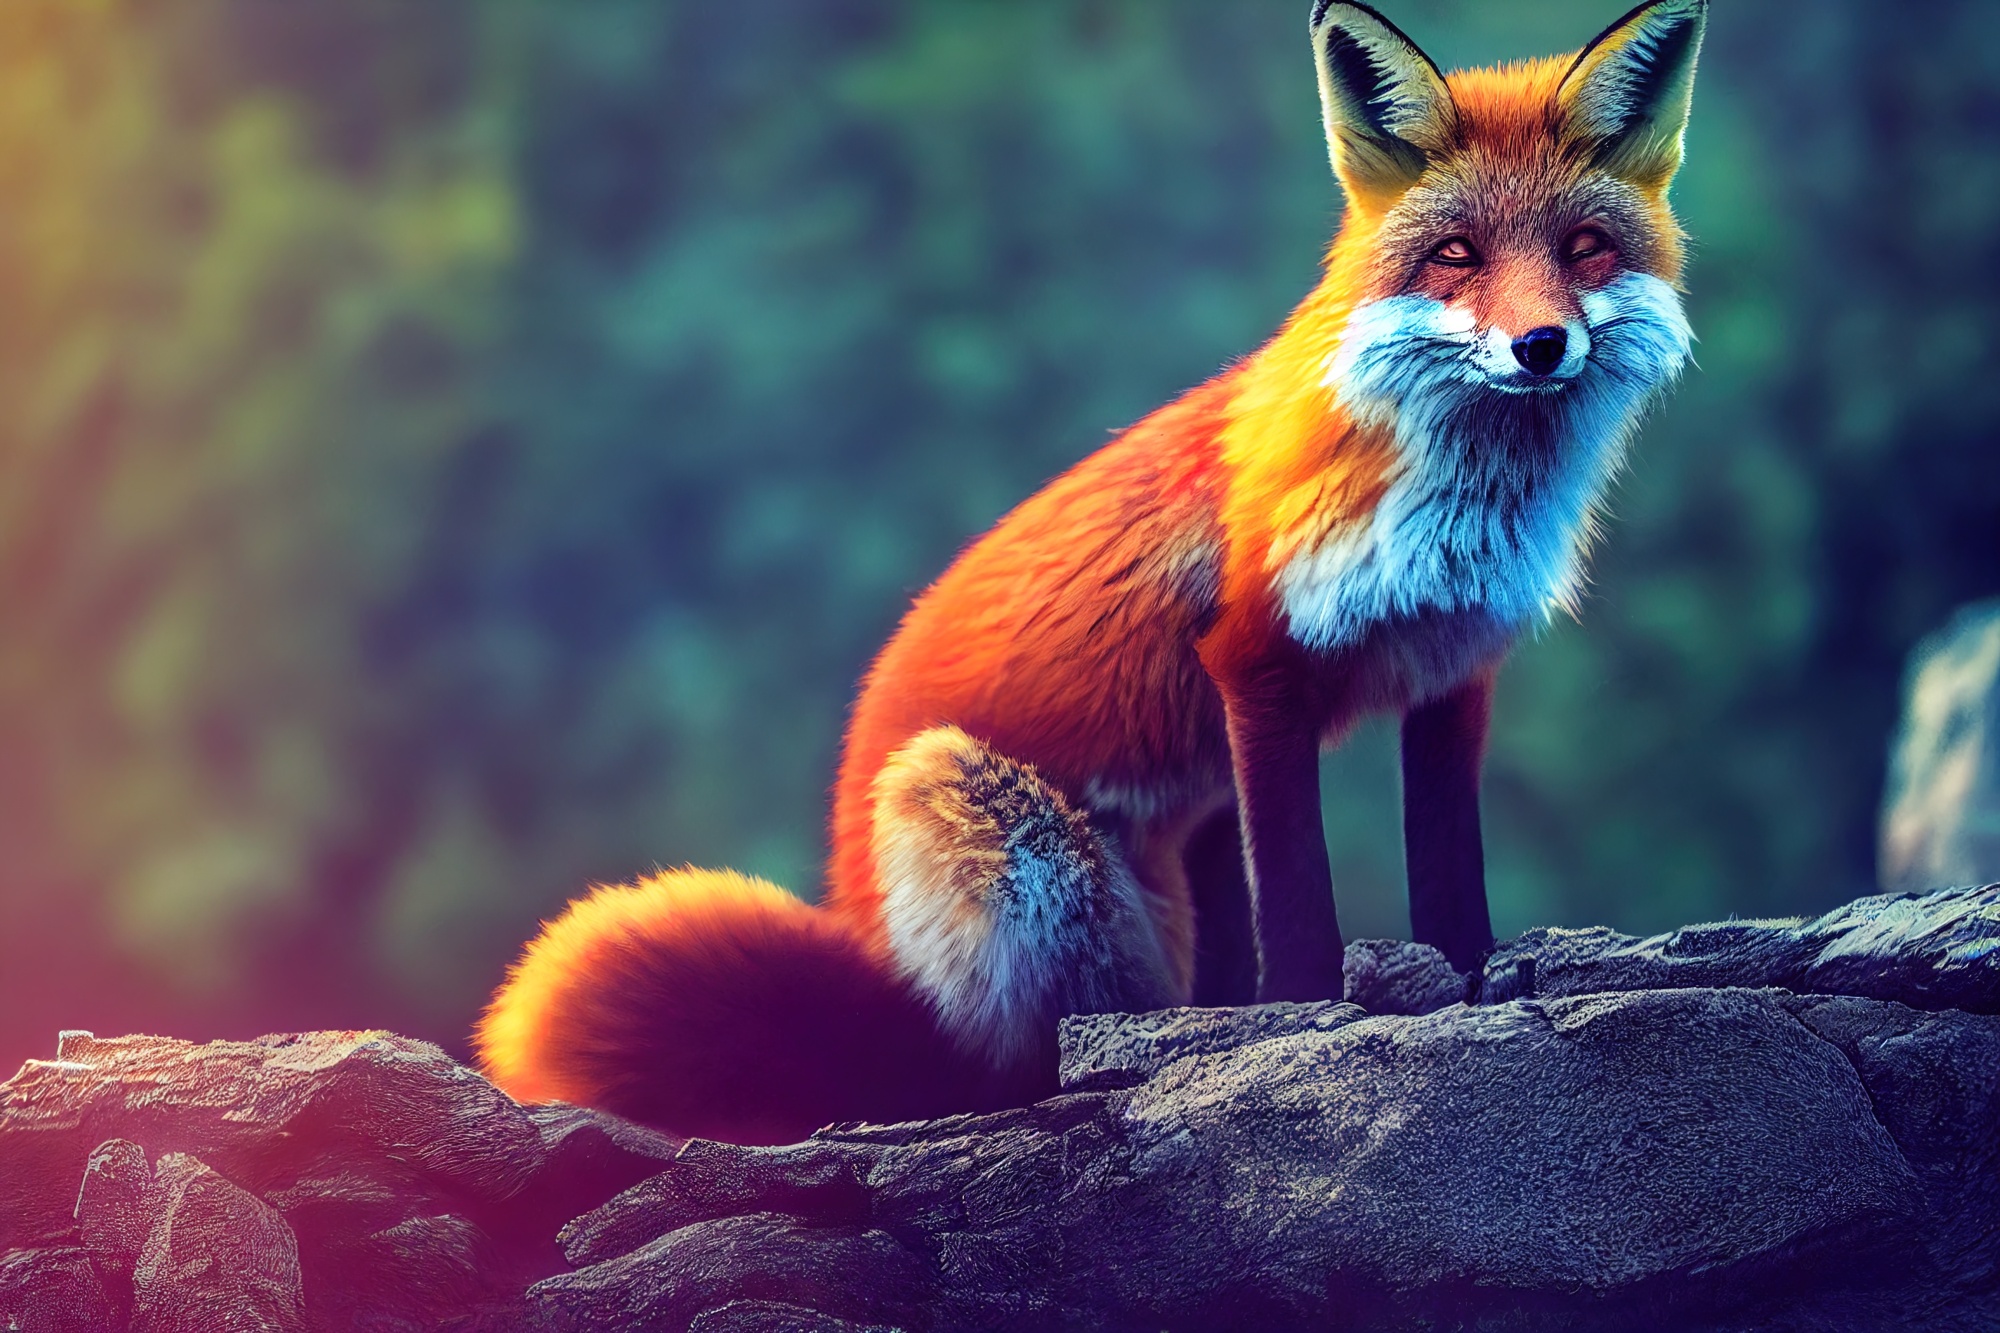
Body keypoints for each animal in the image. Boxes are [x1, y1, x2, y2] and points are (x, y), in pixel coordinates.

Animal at [477, 0, 1705, 1145]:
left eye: (1583, 247)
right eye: (1457, 255)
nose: (1540, 346)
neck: (1457, 500)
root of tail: (864, 929)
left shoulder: (1453, 663)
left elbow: (1449, 874)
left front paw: (1473, 986)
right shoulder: (1252, 662)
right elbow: (1297, 898)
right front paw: (1312, 1024)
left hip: (1182, 830)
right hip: (980, 809)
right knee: (1002, 1063)